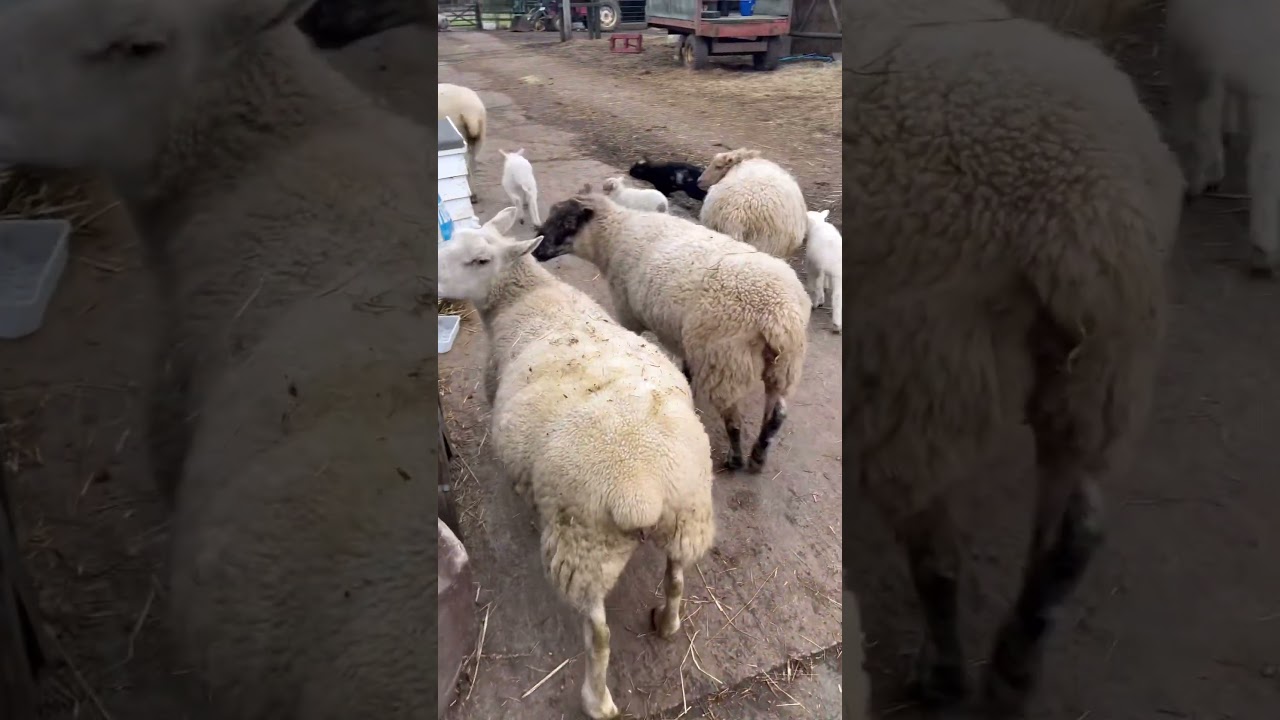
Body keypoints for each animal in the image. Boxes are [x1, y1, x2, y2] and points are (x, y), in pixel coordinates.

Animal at [438, 208, 716, 720]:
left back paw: (598, 701)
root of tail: (643, 490)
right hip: (687, 519)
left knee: (600, 636)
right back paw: (666, 622)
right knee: (675, 578)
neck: (529, 297)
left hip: (584, 547)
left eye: (480, 259)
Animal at [535, 194, 811, 473]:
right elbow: (686, 366)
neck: (615, 236)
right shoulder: (687, 338)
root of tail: (779, 314)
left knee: (733, 419)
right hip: (783, 365)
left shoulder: (628, 314)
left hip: (725, 360)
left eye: (568, 223)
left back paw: (736, 459)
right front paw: (686, 381)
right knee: (777, 414)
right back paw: (758, 456)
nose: (536, 251)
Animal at [844, 0, 1181, 712]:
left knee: (938, 558)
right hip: (1105, 373)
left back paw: (944, 673)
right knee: (1074, 530)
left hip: (917, 371)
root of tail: (1093, 207)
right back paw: (1013, 668)